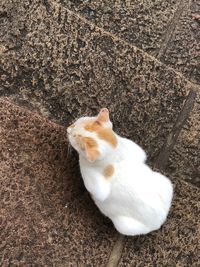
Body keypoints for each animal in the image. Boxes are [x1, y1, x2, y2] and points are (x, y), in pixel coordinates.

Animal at [67, 109, 173, 237]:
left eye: (73, 136)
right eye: (75, 124)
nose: (68, 129)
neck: (113, 156)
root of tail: (160, 220)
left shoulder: (97, 187)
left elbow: (97, 192)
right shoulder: (136, 150)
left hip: (124, 226)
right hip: (166, 182)